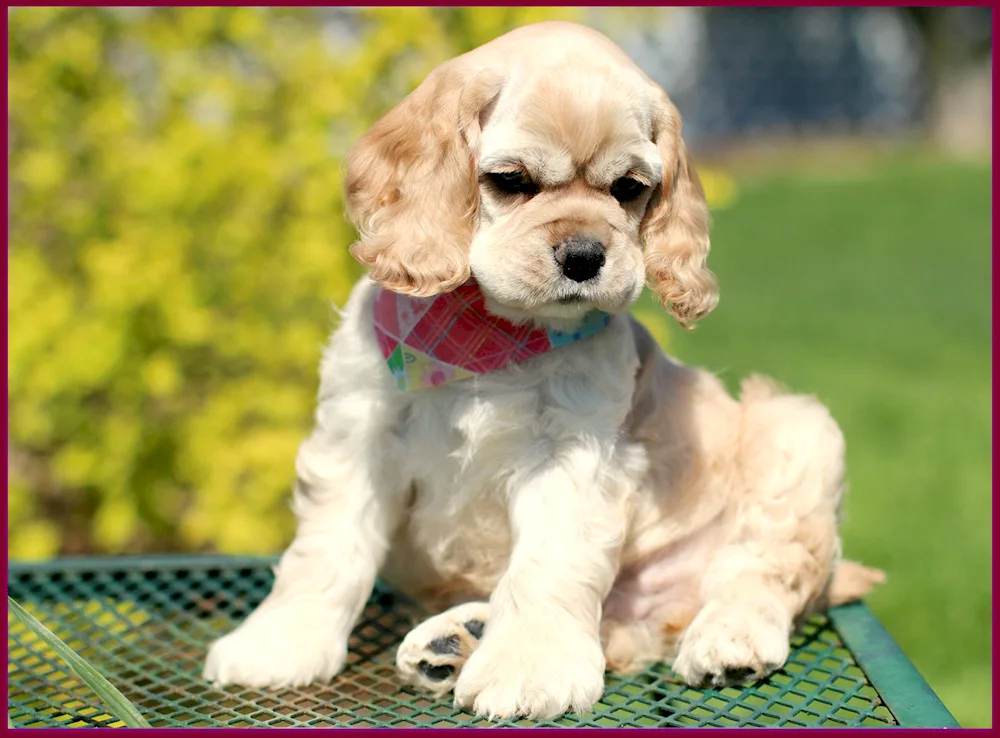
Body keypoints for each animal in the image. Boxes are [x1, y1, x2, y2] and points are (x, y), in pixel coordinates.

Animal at [203, 21, 884, 720]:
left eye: (629, 189)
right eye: (511, 180)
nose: (584, 256)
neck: (489, 334)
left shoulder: (575, 453)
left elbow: (547, 566)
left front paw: (529, 671)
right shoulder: (358, 429)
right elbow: (324, 551)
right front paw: (281, 644)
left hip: (797, 430)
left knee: (762, 571)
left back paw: (728, 638)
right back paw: (457, 638)